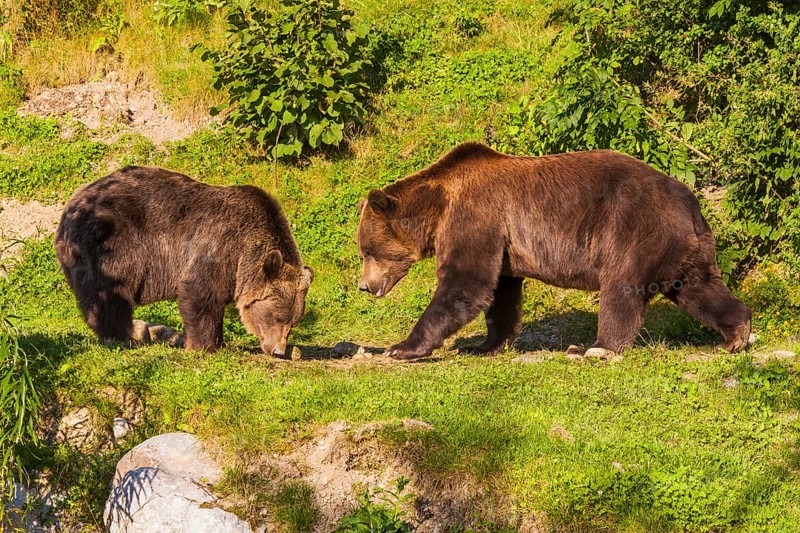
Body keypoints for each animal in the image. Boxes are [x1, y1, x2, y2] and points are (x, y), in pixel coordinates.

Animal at [55, 166, 313, 356]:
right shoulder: (219, 245)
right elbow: (200, 293)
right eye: (277, 316)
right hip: (107, 245)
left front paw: (219, 342)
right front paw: (204, 346)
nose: (278, 351)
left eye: (294, 322)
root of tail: (73, 200)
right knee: (110, 293)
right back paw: (121, 337)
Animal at [357, 142, 752, 360]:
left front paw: (403, 347)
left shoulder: (476, 216)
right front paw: (484, 344)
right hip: (683, 247)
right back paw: (736, 334)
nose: (363, 285)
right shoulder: (503, 242)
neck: (438, 206)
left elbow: (464, 284)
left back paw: (597, 347)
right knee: (699, 287)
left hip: (634, 229)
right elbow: (501, 293)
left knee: (620, 288)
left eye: (365, 251)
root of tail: (689, 200)